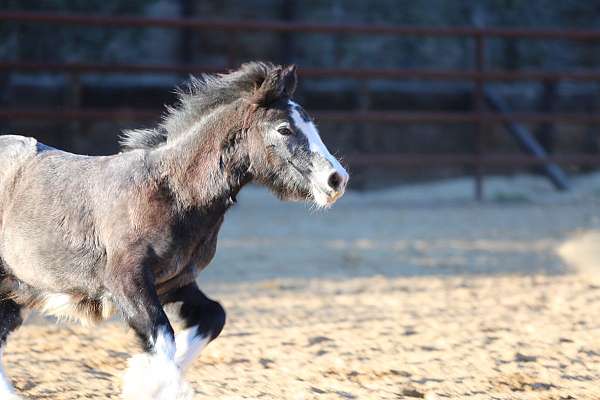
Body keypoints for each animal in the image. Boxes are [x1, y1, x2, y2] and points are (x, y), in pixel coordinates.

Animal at [0, 61, 346, 396]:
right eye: (284, 129)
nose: (337, 179)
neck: (172, 193)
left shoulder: (175, 282)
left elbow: (213, 317)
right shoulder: (126, 282)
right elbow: (163, 337)